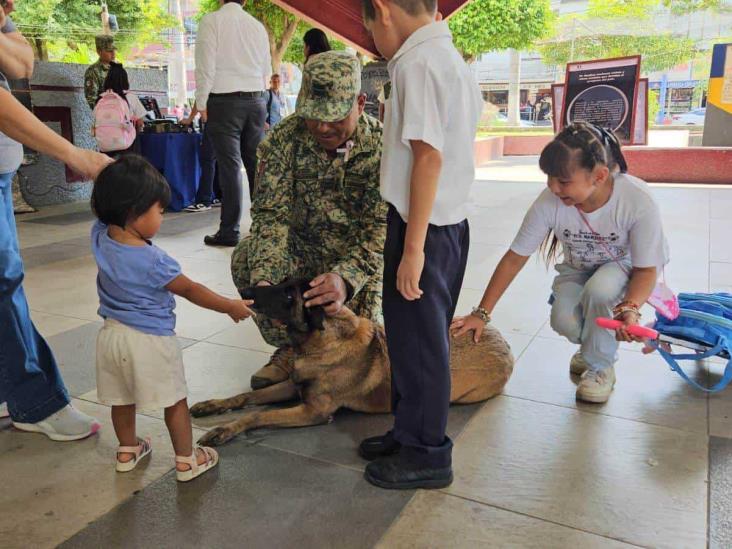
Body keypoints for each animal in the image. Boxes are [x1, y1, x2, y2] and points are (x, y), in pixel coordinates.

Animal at [193, 278, 516, 446]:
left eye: (288, 294)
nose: (245, 291)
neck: (321, 340)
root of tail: (501, 339)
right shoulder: (292, 386)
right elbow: (244, 397)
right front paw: (212, 406)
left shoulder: (313, 411)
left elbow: (257, 416)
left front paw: (224, 430)